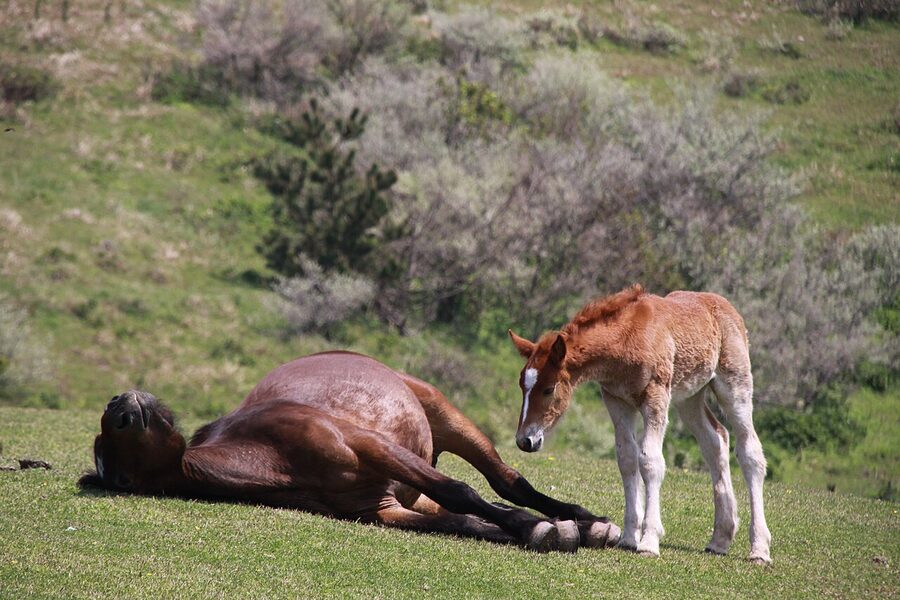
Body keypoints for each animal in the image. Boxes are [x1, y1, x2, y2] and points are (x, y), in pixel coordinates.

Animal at [79, 351, 621, 553]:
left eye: (109, 443)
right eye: (114, 469)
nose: (117, 405)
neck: (272, 456)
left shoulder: (372, 446)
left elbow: (461, 492)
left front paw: (542, 527)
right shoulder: (380, 509)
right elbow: (461, 521)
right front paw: (543, 532)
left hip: (446, 420)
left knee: (504, 480)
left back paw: (587, 520)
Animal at [507, 285, 772, 564]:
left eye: (548, 389)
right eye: (522, 385)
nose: (525, 440)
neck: (624, 340)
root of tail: (724, 305)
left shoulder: (656, 396)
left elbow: (650, 461)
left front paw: (649, 540)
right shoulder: (616, 401)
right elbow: (627, 459)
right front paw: (629, 536)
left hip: (734, 385)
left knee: (750, 451)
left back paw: (759, 549)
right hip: (689, 397)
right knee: (716, 440)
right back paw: (720, 538)